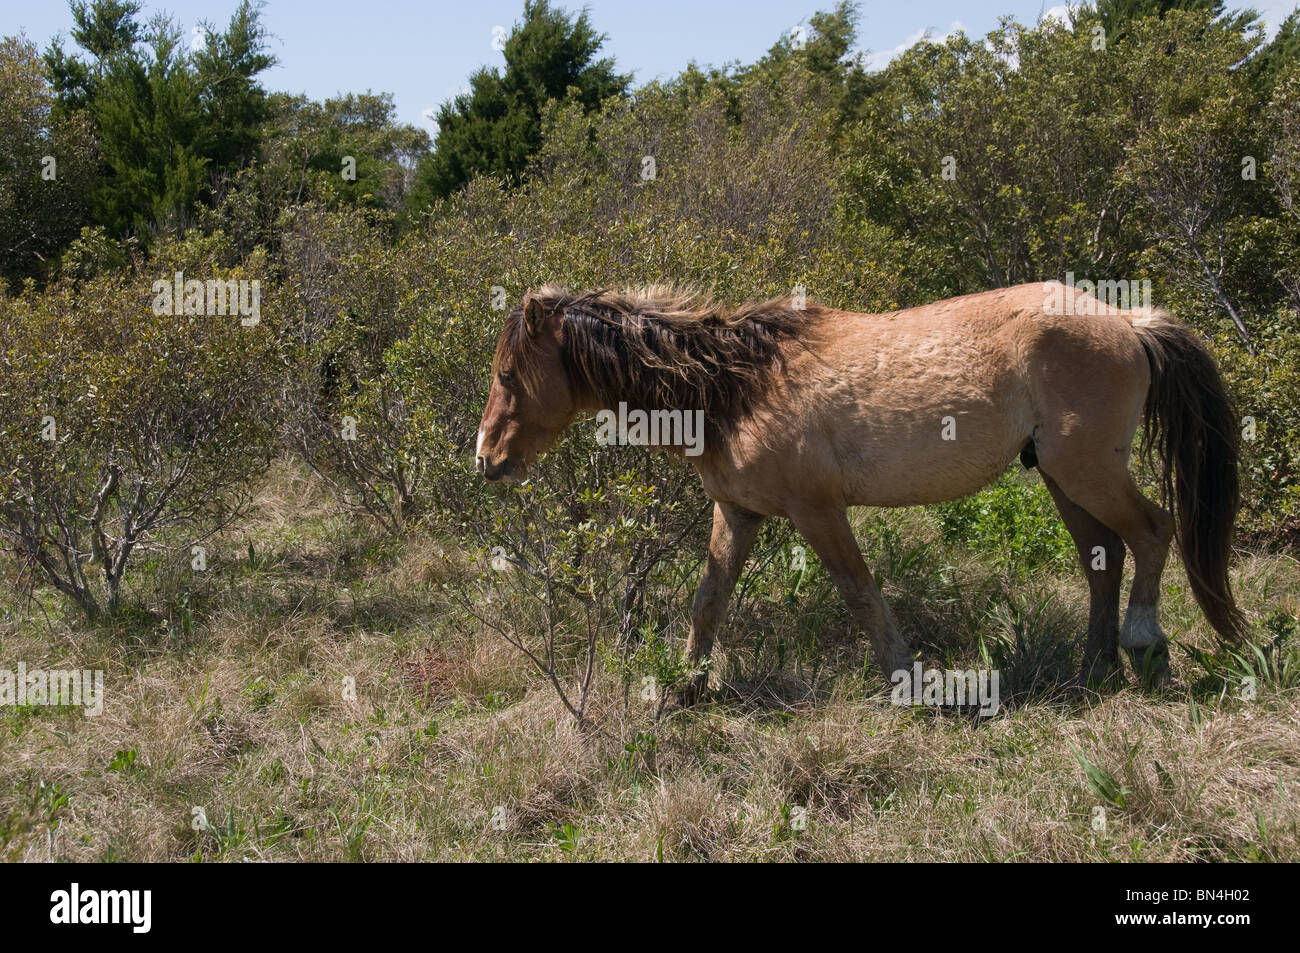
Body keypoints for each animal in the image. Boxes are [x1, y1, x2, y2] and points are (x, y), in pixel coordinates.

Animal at [475, 282, 1245, 704]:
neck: (734, 384)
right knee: (1103, 557)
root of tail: (1130, 323)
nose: (486, 460)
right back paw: (1093, 670)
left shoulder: (817, 512)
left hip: (1087, 472)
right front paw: (686, 690)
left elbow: (861, 593)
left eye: (509, 375)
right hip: (1062, 477)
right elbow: (708, 600)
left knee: (1153, 532)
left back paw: (1142, 648)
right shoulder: (739, 513)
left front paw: (909, 681)